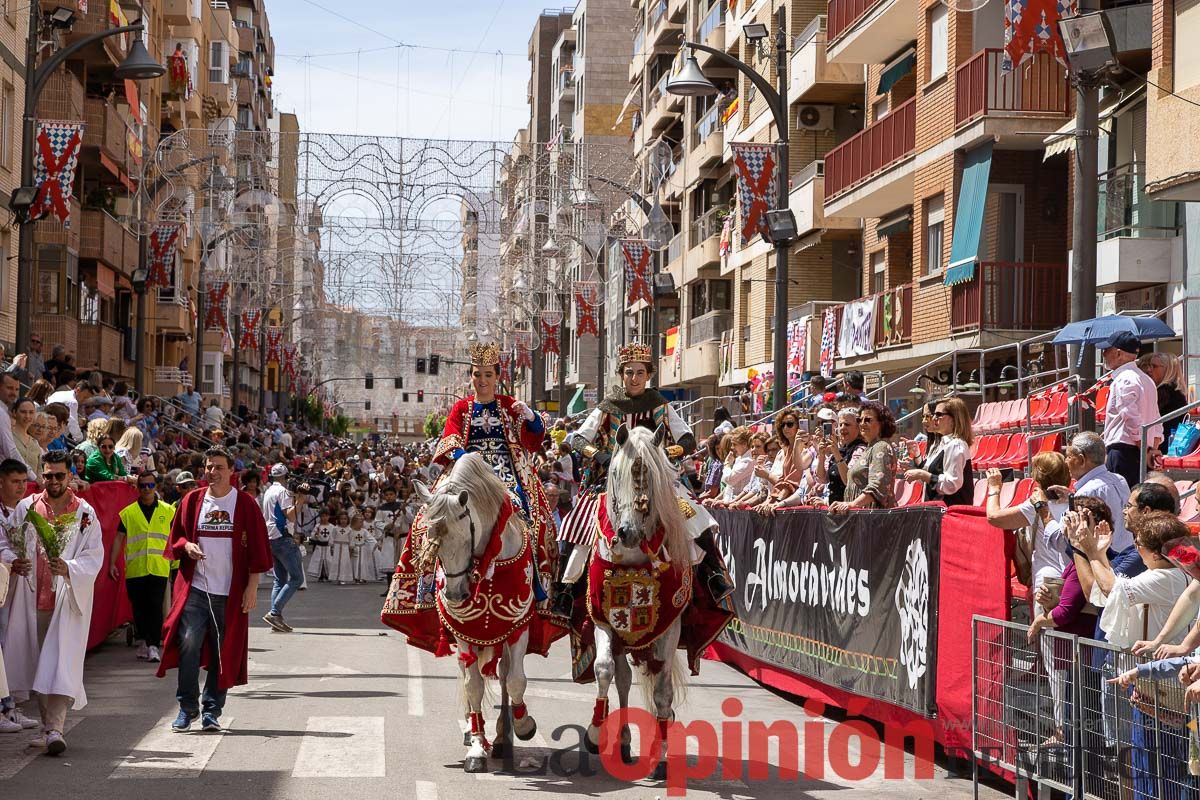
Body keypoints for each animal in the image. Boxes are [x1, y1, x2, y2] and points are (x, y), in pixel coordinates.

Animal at [417, 455, 540, 777]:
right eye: (432, 543)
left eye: (464, 539)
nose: (456, 594)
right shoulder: (465, 633)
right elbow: (473, 686)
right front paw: (476, 748)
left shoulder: (518, 625)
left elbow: (516, 681)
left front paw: (523, 725)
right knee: (468, 675)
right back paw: (475, 733)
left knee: (505, 675)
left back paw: (502, 738)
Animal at [583, 424, 691, 777]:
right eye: (615, 473)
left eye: (652, 479)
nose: (628, 533)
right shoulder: (602, 620)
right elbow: (604, 670)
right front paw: (594, 734)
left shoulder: (670, 628)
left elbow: (662, 693)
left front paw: (660, 757)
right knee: (623, 681)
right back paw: (625, 742)